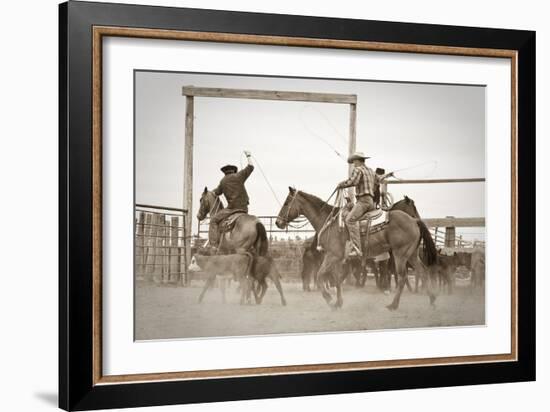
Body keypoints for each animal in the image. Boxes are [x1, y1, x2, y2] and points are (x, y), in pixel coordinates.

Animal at [278, 187, 438, 308]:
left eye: (286, 203)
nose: (278, 222)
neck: (328, 221)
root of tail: (413, 221)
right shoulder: (336, 258)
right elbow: (336, 279)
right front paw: (338, 302)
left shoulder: (332, 256)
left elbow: (319, 275)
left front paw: (329, 298)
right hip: (412, 254)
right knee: (423, 271)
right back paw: (432, 299)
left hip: (400, 255)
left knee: (403, 277)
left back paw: (393, 305)